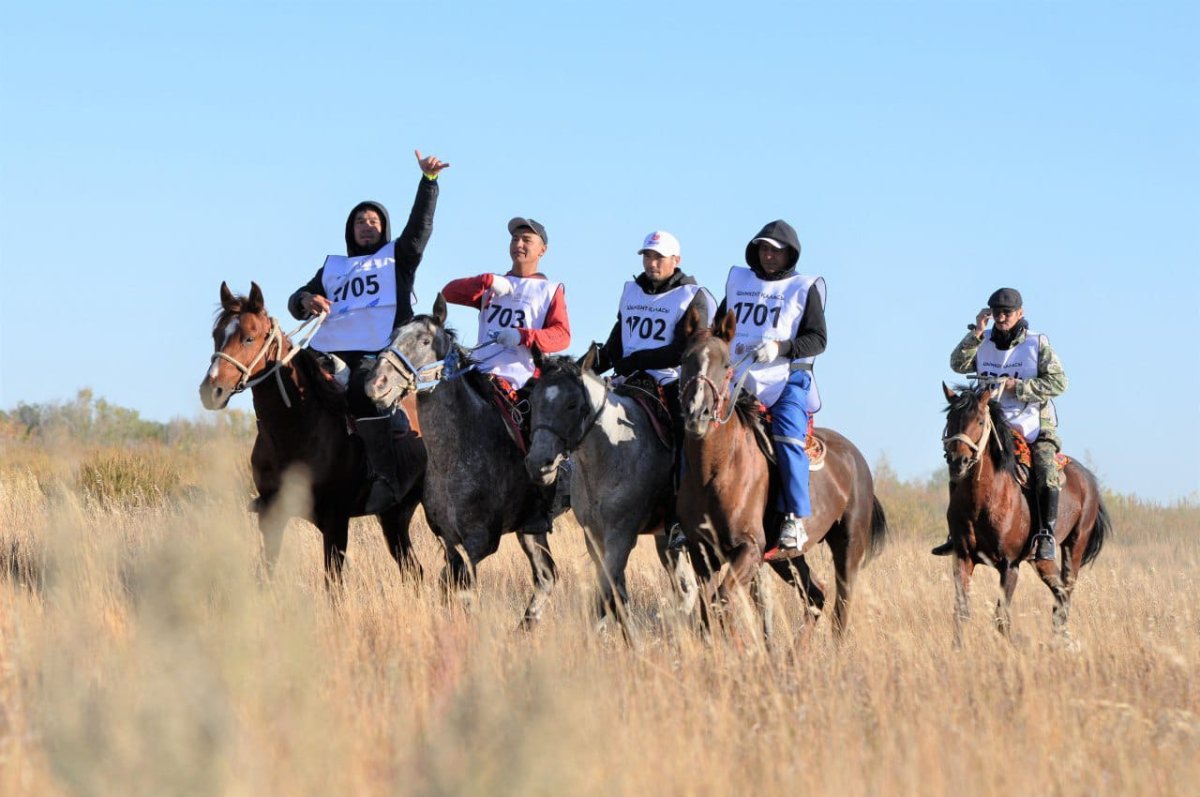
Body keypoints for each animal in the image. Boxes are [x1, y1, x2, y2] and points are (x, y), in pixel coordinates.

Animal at [202, 283, 432, 583]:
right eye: (216, 335)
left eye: (249, 338)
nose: (211, 391)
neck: (295, 430)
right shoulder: (271, 516)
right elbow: (266, 573)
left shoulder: (335, 521)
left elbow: (332, 583)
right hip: (395, 515)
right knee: (413, 570)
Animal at [523, 348, 696, 628]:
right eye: (533, 401)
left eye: (572, 404)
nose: (539, 464)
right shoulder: (594, 537)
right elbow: (617, 598)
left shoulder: (620, 536)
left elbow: (605, 597)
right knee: (687, 590)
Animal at [676, 302, 892, 638]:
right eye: (686, 359)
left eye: (726, 365)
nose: (697, 412)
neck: (714, 471)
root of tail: (857, 460)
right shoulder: (703, 554)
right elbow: (707, 612)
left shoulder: (749, 549)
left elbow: (721, 600)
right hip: (786, 558)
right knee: (815, 596)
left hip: (848, 548)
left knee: (840, 611)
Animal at [940, 384, 1108, 638]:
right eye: (950, 419)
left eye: (980, 420)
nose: (958, 461)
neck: (982, 501)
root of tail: (1089, 479)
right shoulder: (963, 557)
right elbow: (961, 613)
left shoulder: (1010, 565)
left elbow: (1001, 618)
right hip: (1040, 560)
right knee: (1059, 592)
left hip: (1075, 546)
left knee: (1067, 590)